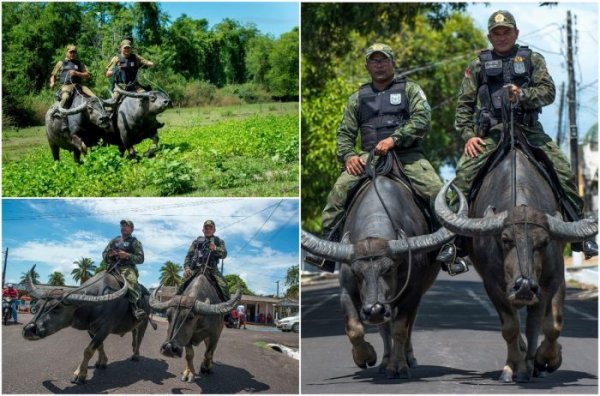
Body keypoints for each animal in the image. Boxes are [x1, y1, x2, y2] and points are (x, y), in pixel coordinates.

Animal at [22, 266, 156, 384]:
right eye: (37, 306)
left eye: (57, 307)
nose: (29, 329)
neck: (93, 306)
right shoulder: (91, 329)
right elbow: (99, 346)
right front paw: (102, 362)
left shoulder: (104, 329)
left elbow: (88, 350)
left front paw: (79, 374)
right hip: (134, 324)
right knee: (134, 334)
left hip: (144, 321)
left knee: (140, 338)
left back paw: (136, 355)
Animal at [302, 176, 466, 378]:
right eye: (357, 272)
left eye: (389, 269)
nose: (374, 310)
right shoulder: (347, 291)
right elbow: (354, 329)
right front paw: (366, 357)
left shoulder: (412, 293)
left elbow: (400, 329)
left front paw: (399, 366)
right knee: (384, 328)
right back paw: (385, 361)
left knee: (407, 325)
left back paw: (407, 359)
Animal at [434, 148, 596, 380]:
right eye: (505, 239)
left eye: (544, 242)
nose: (525, 286)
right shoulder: (494, 285)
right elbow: (510, 327)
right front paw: (515, 367)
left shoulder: (554, 279)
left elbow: (549, 324)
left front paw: (545, 360)